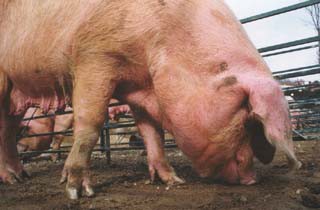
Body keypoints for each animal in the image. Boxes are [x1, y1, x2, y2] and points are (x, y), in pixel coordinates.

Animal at [0, 0, 300, 199]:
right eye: (247, 117)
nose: (252, 181)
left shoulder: (139, 87)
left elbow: (152, 132)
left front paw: (173, 181)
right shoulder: (93, 57)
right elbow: (90, 123)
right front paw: (77, 191)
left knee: (8, 130)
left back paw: (19, 177)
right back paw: (14, 180)